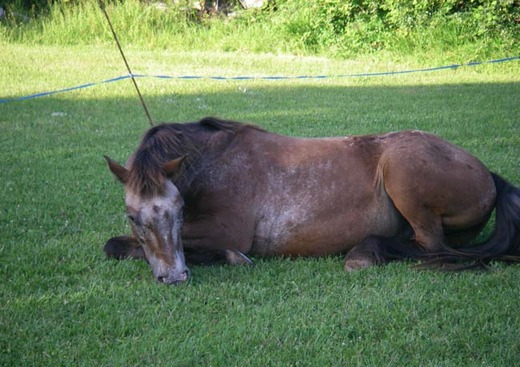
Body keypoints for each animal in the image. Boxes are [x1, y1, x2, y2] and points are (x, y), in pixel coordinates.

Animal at [104, 117, 520, 284]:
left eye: (178, 211)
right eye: (133, 216)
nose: (174, 277)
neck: (214, 163)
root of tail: (488, 176)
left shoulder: (227, 233)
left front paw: (233, 259)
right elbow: (114, 244)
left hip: (402, 174)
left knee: (432, 249)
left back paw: (363, 255)